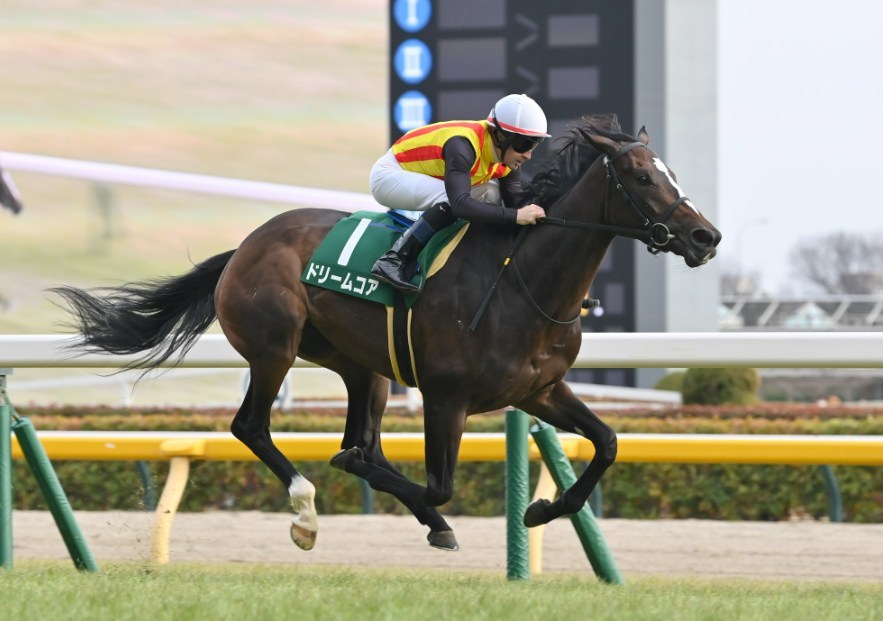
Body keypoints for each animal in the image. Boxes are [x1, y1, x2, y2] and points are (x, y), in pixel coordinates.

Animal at [52, 114, 721, 552]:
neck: (521, 279)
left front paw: (541, 508)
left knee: (362, 442)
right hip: (274, 347)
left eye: (670, 173)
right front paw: (445, 512)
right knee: (255, 427)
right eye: (641, 176)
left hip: (362, 366)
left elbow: (606, 443)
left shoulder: (540, 390)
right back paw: (306, 513)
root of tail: (244, 246)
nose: (704, 237)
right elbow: (438, 485)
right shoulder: (447, 396)